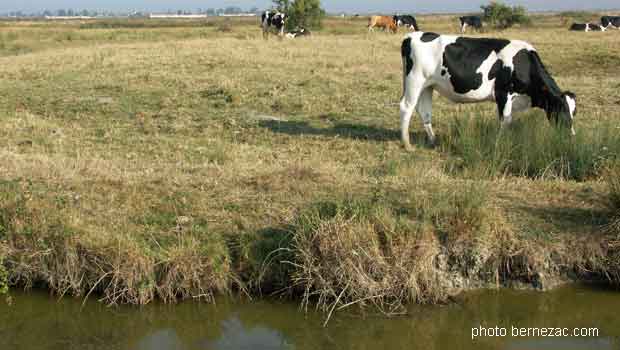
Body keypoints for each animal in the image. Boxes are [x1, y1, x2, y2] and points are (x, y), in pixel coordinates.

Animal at [400, 31, 580, 149]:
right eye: (561, 110)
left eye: (574, 112)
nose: (571, 136)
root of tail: (412, 36)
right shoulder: (503, 93)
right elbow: (505, 120)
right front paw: (499, 144)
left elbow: (509, 120)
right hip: (414, 80)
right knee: (406, 107)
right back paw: (407, 144)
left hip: (427, 85)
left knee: (424, 111)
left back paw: (432, 141)